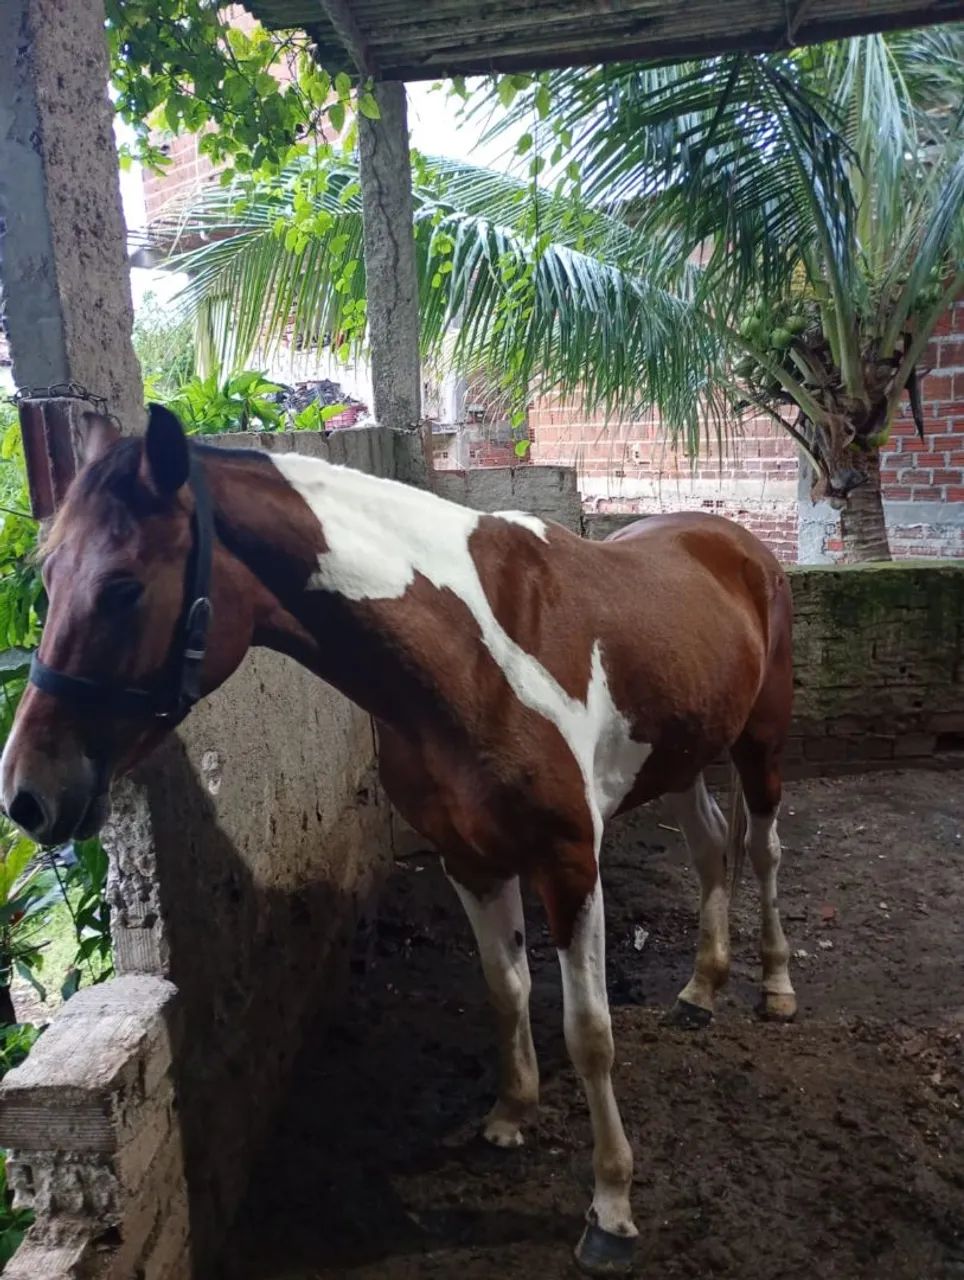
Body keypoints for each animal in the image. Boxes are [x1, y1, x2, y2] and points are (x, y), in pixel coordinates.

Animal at [0, 404, 795, 1276]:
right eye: (47, 579)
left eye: (122, 587)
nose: (26, 794)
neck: (471, 655)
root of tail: (737, 542)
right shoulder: (469, 859)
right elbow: (505, 988)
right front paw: (512, 1113)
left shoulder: (568, 864)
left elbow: (590, 1033)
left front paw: (611, 1207)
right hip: (681, 755)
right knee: (710, 847)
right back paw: (700, 990)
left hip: (760, 742)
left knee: (761, 851)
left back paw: (775, 986)